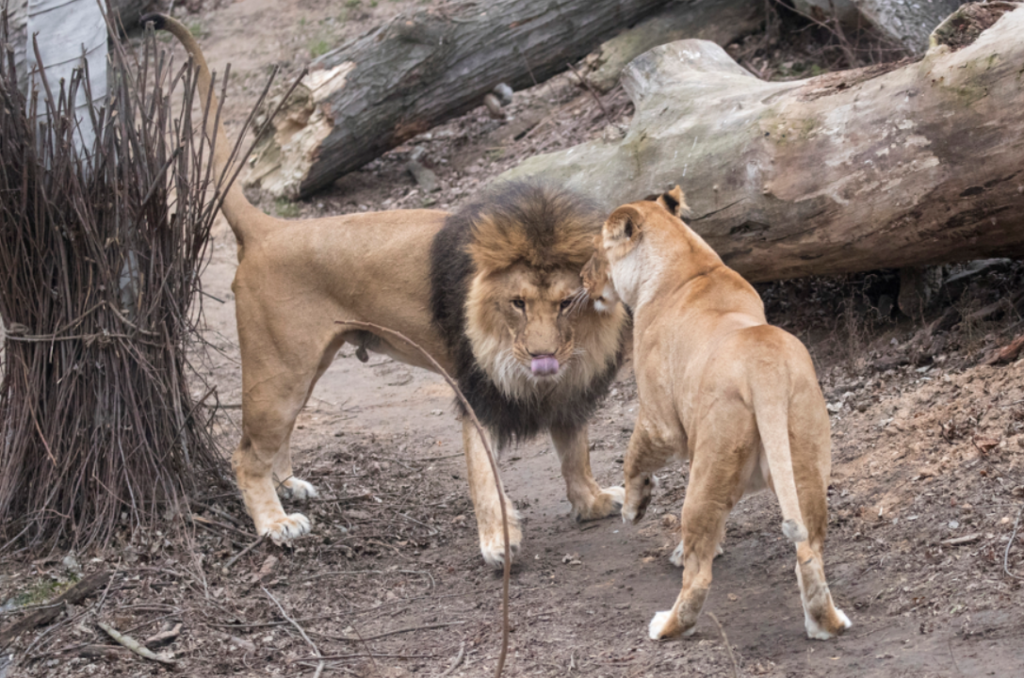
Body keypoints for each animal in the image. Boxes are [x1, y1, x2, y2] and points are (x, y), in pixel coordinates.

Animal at [142, 14, 622, 569]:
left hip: (305, 368)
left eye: (567, 303)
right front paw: (499, 541)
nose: (543, 357)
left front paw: (593, 502)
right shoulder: (476, 391)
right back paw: (275, 523)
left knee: (276, 438)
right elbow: (485, 474)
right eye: (517, 303)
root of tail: (270, 230)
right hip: (278, 371)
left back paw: (289, 485)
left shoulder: (569, 386)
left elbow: (575, 450)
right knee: (245, 454)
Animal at [581, 189, 851, 643]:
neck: (688, 264)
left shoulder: (660, 421)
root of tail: (765, 368)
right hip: (802, 466)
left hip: (709, 469)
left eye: (598, 252)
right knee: (809, 552)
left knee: (699, 575)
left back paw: (667, 626)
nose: (582, 279)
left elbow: (632, 458)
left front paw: (634, 508)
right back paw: (825, 623)